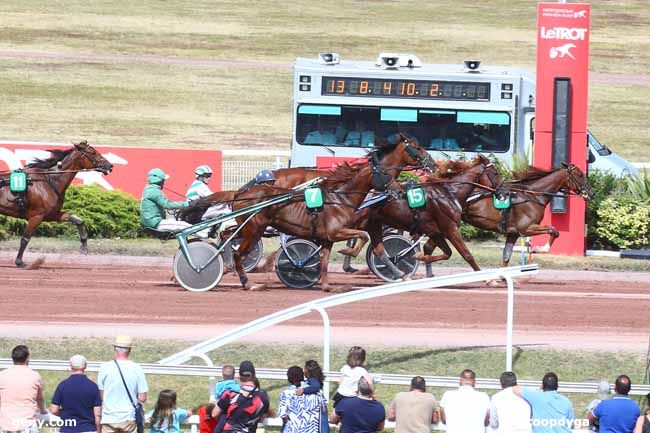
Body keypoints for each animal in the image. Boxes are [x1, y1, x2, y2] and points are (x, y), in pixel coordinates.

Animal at [225, 135, 432, 290]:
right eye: (417, 147)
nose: (432, 163)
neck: (342, 197)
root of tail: (241, 192)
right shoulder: (351, 227)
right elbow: (367, 240)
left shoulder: (349, 229)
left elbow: (371, 249)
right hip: (254, 229)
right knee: (238, 251)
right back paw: (244, 278)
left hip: (248, 228)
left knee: (226, 235)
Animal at [362, 155, 498, 276]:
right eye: (496, 173)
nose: (502, 191)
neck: (449, 194)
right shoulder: (450, 228)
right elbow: (466, 255)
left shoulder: (436, 231)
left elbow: (442, 252)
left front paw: (421, 258)